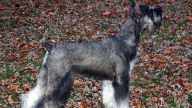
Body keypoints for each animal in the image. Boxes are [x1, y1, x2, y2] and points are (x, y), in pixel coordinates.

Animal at [20, 0, 162, 107]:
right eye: (150, 10)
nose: (160, 9)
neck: (125, 39)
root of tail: (51, 47)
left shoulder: (110, 80)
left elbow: (110, 99)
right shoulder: (122, 79)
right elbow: (122, 102)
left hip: (45, 77)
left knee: (30, 96)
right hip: (57, 81)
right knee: (46, 101)